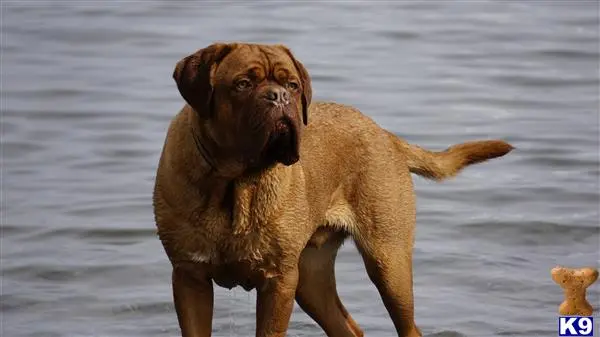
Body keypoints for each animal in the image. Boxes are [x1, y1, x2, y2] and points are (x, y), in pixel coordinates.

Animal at [152, 42, 512, 336]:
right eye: (243, 84)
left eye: (292, 85)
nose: (279, 96)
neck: (235, 185)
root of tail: (386, 135)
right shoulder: (189, 276)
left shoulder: (278, 281)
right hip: (311, 277)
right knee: (347, 328)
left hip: (388, 262)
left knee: (408, 326)